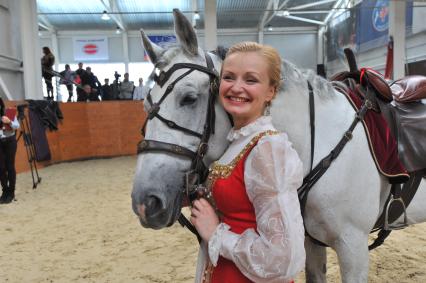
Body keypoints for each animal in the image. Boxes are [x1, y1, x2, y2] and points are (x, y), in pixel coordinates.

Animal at [131, 8, 426, 283]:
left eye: (189, 98)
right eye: (145, 104)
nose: (145, 202)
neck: (320, 141)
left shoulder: (353, 246)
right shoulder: (311, 241)